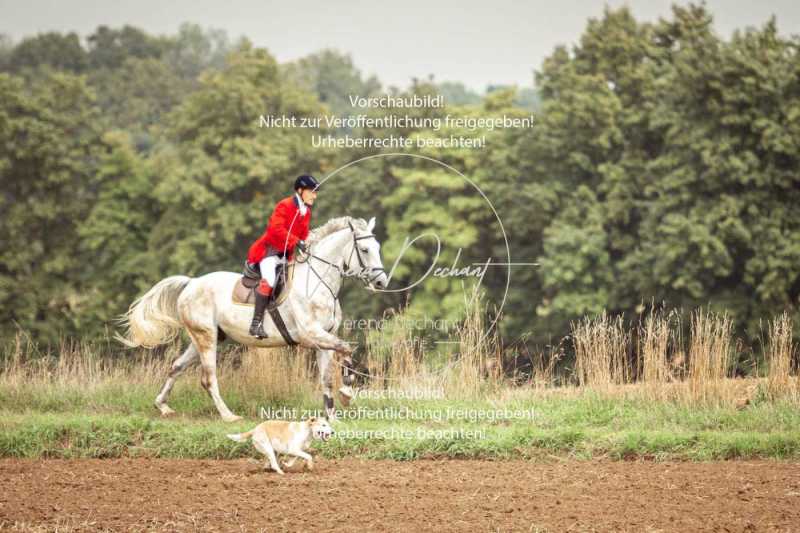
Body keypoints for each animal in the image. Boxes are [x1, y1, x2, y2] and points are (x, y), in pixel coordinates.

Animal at [117, 216, 390, 420]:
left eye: (378, 248)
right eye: (364, 250)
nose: (381, 282)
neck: (318, 281)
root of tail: (191, 283)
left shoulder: (324, 339)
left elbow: (327, 377)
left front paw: (332, 417)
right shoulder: (311, 335)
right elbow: (346, 349)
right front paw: (347, 392)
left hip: (202, 337)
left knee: (177, 366)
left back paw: (162, 405)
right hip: (207, 338)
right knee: (208, 378)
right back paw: (228, 416)